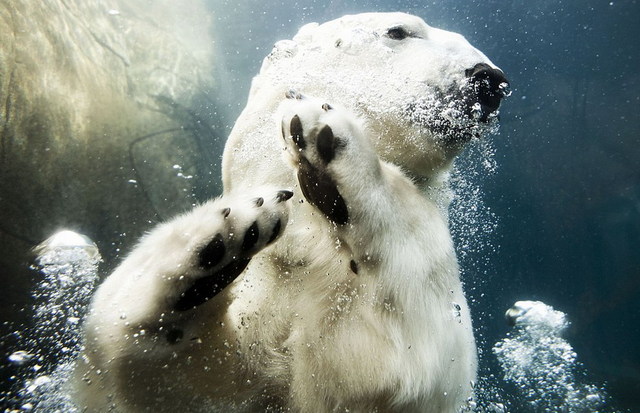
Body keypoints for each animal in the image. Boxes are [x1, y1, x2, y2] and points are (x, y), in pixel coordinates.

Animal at [74, 11, 504, 410]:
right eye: (398, 31)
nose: (490, 80)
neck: (300, 245)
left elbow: (388, 365)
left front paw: (329, 142)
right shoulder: (264, 295)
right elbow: (190, 384)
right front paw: (221, 241)